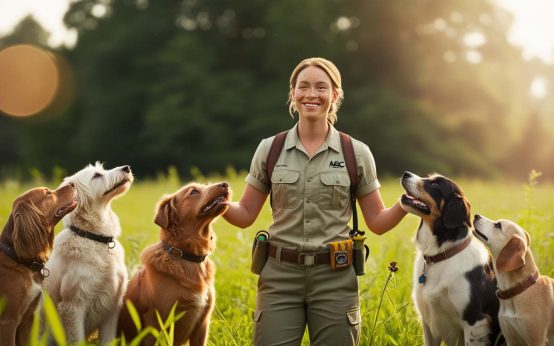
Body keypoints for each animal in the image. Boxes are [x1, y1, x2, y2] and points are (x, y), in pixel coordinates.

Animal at [44, 162, 133, 344]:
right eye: (97, 175)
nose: (127, 167)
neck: (95, 238)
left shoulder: (112, 306)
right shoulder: (73, 306)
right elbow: (76, 339)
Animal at [116, 182, 229, 344]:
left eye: (206, 185)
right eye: (193, 191)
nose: (225, 184)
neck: (187, 256)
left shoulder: (202, 323)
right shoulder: (156, 323)